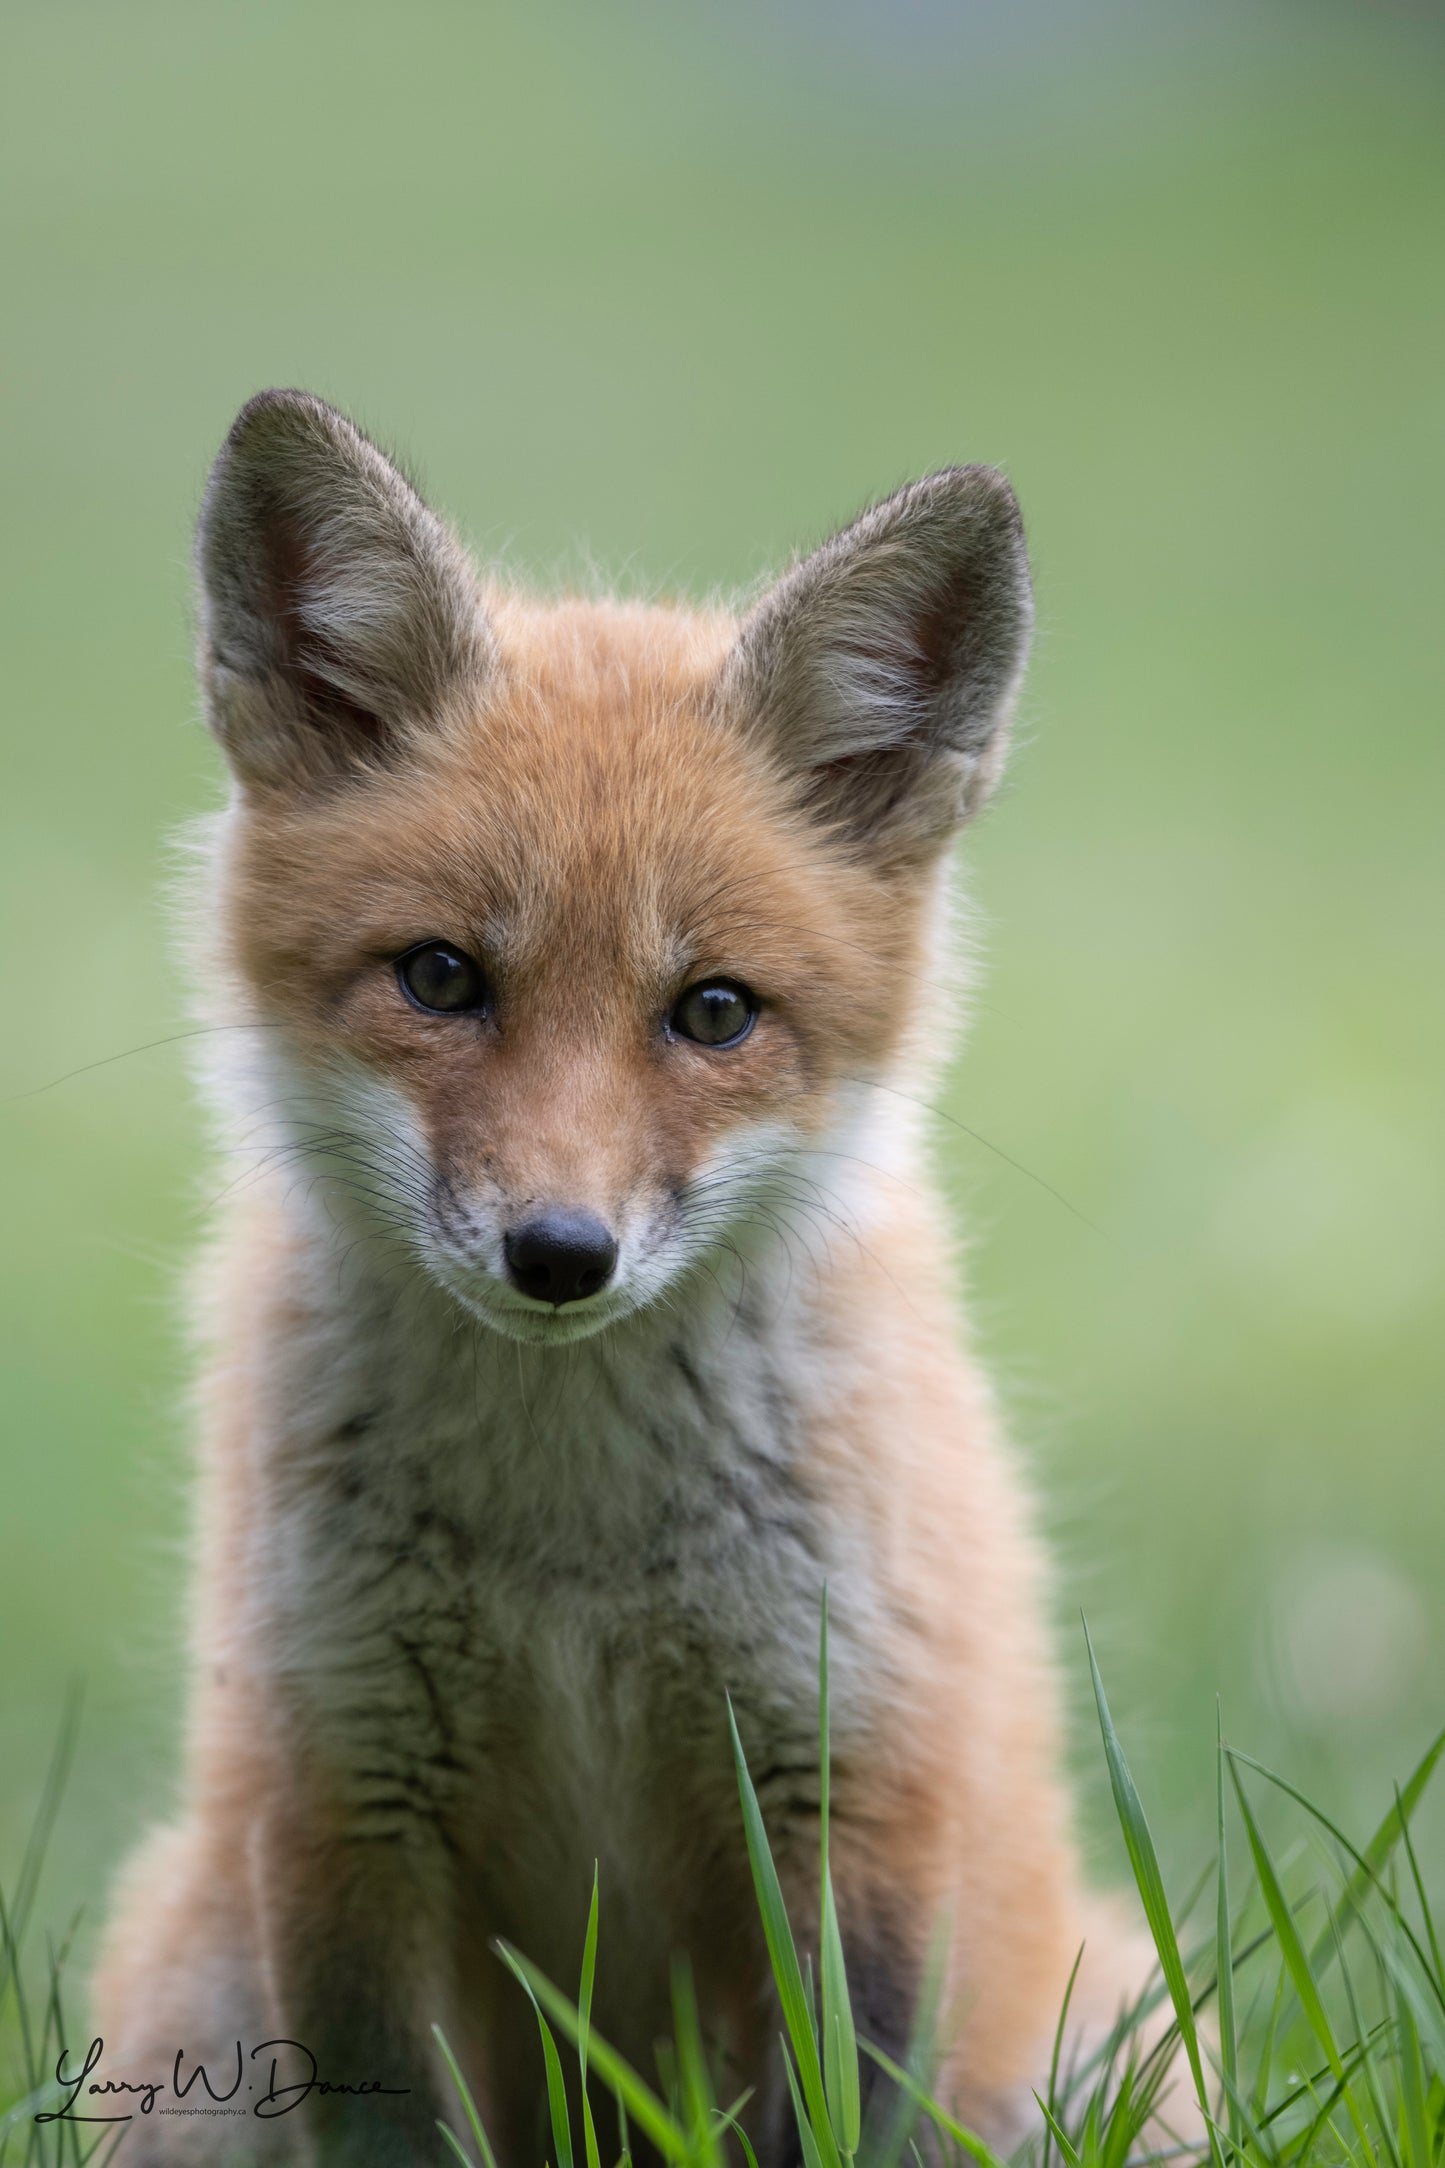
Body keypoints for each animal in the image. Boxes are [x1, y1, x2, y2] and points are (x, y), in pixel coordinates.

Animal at [91, 389, 1155, 2167]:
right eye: (440, 978)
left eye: (714, 1013)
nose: (559, 1255)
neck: (569, 1553)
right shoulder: (342, 1795)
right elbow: (394, 2127)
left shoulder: (853, 1797)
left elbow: (840, 2111)